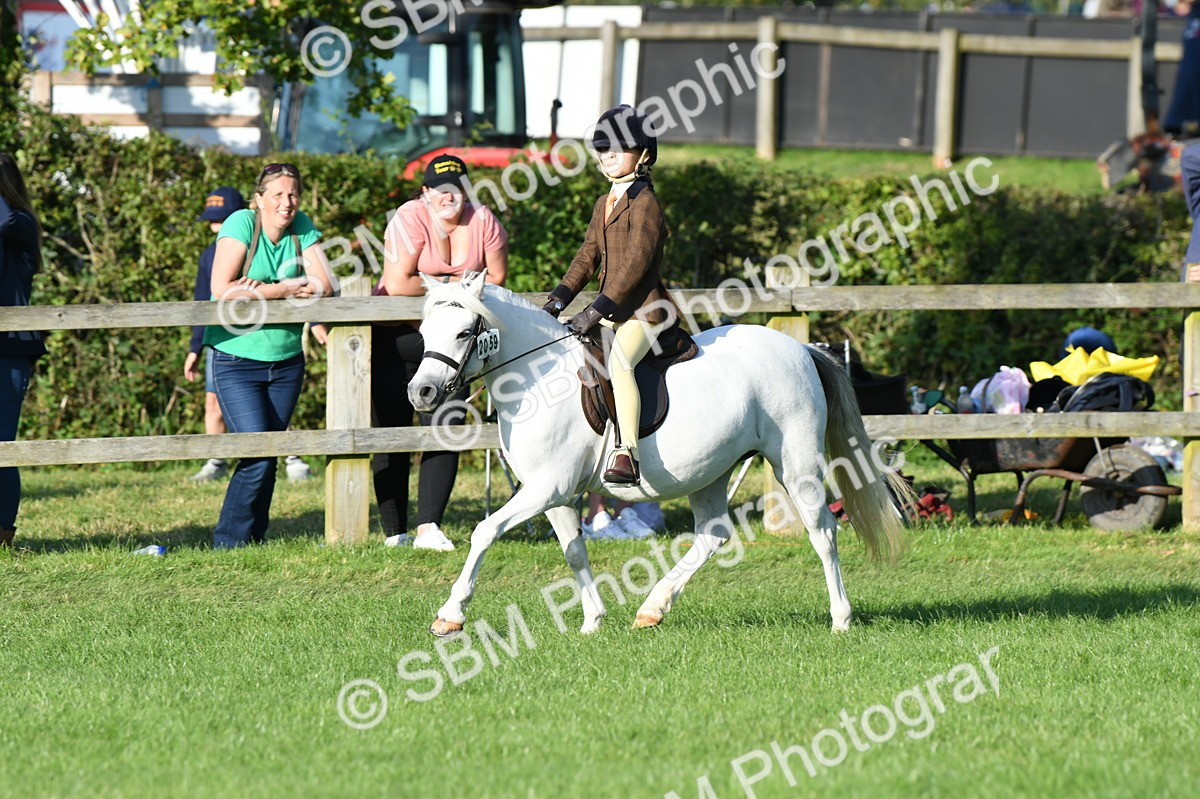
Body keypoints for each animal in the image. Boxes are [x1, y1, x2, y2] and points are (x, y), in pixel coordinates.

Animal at [408, 273, 909, 636]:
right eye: (423, 331)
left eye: (463, 332)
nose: (421, 393)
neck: (537, 377)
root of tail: (800, 349)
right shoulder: (552, 494)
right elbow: (575, 552)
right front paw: (592, 621)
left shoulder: (546, 488)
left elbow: (484, 532)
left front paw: (450, 614)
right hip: (711, 471)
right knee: (713, 535)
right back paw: (652, 608)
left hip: (796, 463)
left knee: (822, 532)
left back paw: (841, 619)